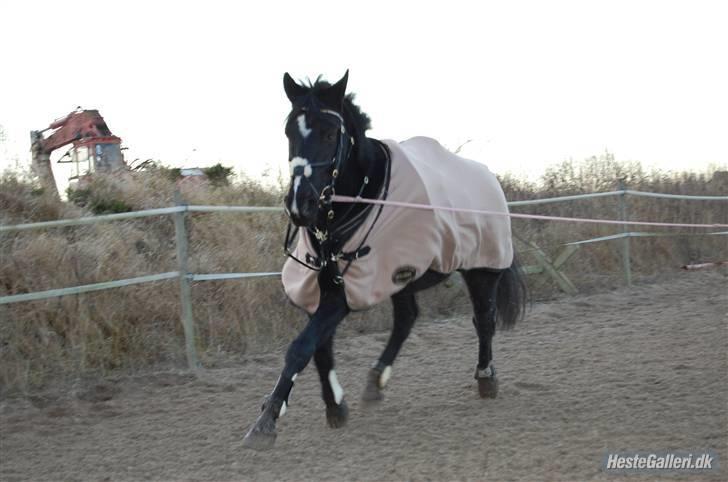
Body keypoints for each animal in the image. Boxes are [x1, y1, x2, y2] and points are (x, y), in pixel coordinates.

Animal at [242, 71, 528, 452]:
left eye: (329, 133)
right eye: (290, 131)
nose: (299, 204)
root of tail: (490, 178)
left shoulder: (344, 293)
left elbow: (301, 347)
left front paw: (268, 417)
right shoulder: (325, 286)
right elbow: (320, 348)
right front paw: (335, 405)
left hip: (481, 269)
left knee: (484, 319)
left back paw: (485, 377)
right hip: (401, 277)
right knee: (407, 320)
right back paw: (376, 381)